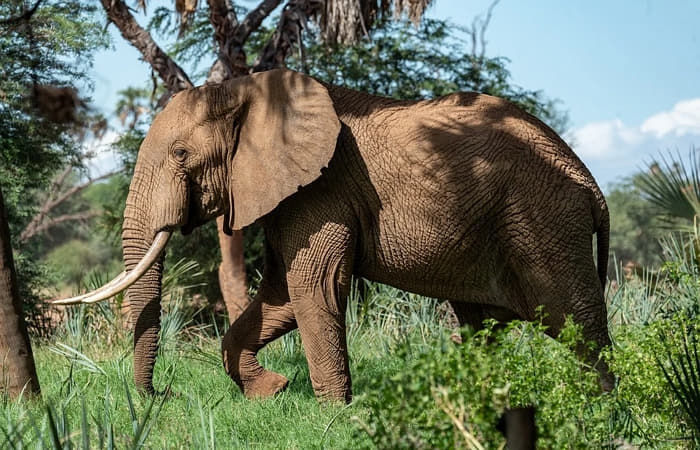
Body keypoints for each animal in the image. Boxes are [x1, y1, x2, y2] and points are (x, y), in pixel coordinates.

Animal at [54, 68, 612, 400]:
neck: (247, 89)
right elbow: (280, 295)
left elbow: (313, 286)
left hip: (543, 218)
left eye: (181, 154)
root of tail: (591, 182)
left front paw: (335, 416)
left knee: (577, 322)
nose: (160, 397)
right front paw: (272, 391)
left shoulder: (322, 190)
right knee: (484, 325)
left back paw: (602, 412)